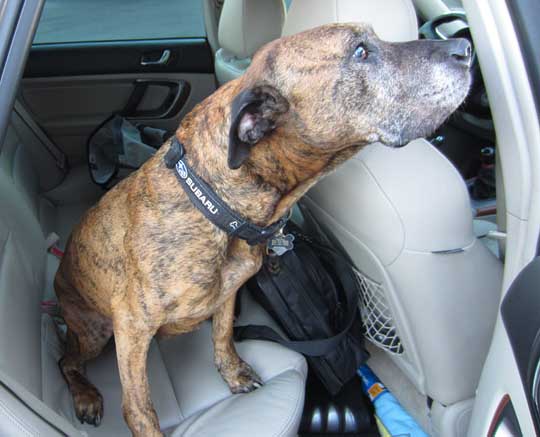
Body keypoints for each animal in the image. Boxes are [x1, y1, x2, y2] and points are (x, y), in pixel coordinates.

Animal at [53, 23, 468, 436]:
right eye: (360, 52)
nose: (464, 48)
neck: (214, 204)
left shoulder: (229, 292)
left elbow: (222, 335)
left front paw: (233, 373)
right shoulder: (133, 325)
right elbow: (140, 407)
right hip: (95, 332)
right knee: (66, 360)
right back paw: (86, 395)